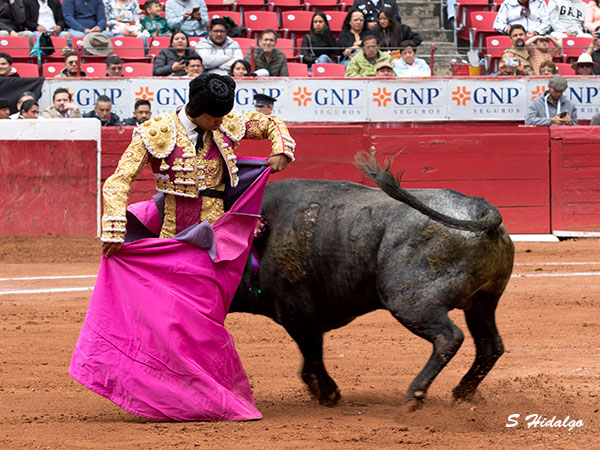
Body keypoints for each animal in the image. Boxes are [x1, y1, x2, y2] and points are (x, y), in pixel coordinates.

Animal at [230, 155, 516, 408]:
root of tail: (477, 207)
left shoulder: (296, 313)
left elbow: (312, 356)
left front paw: (329, 395)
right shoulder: (303, 319)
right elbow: (308, 361)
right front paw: (321, 392)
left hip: (409, 302)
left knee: (448, 337)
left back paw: (414, 396)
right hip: (483, 302)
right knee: (490, 345)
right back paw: (462, 393)